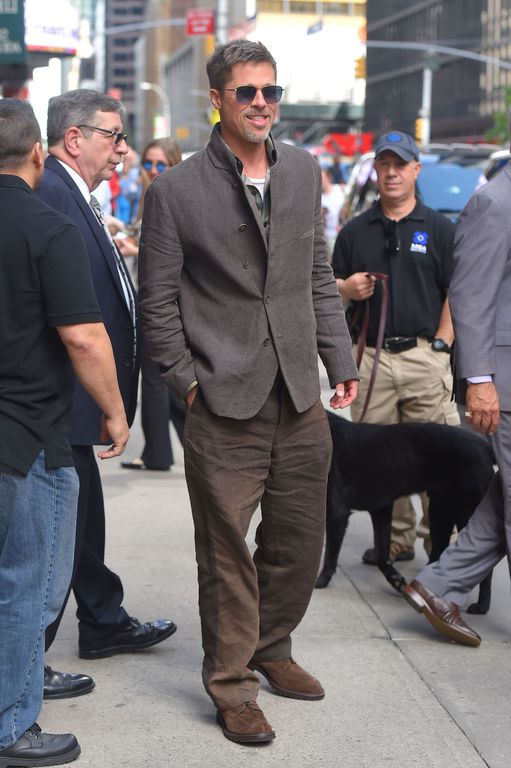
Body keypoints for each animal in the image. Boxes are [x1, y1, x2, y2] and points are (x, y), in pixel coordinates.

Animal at [316, 412, 496, 616]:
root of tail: (485, 447)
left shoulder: (336, 512)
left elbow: (330, 555)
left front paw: (320, 582)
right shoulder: (382, 509)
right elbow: (381, 555)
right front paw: (396, 580)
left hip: (466, 511)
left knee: (483, 564)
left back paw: (481, 606)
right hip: (440, 511)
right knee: (438, 552)